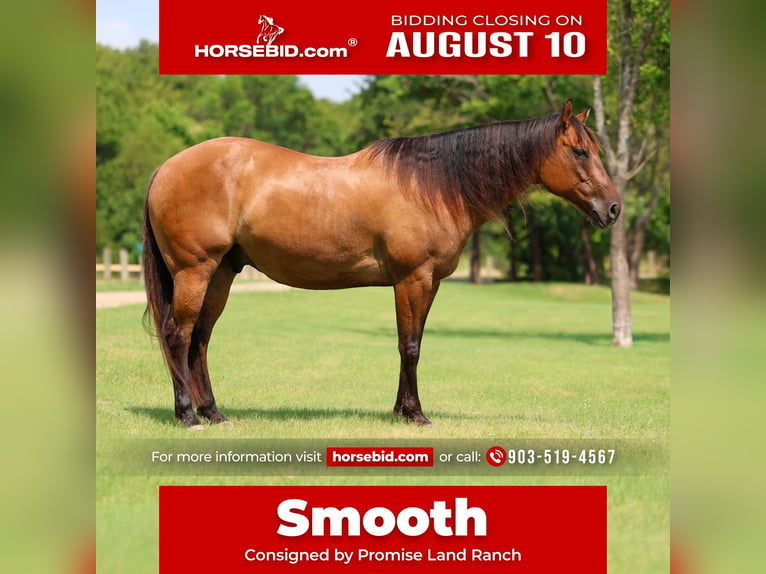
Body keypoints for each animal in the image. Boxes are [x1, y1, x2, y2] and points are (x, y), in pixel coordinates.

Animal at [143, 100, 621, 428]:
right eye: (580, 152)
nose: (614, 208)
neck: (434, 185)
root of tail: (166, 167)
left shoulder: (429, 283)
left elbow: (413, 343)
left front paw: (401, 410)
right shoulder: (412, 279)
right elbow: (409, 346)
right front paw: (415, 414)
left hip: (221, 273)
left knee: (200, 339)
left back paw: (213, 412)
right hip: (195, 270)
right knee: (178, 335)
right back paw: (187, 415)